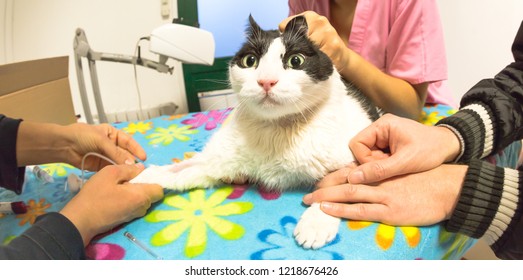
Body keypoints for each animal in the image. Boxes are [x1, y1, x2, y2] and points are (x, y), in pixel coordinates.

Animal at [130, 15, 376, 249]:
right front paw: (138, 180)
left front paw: (315, 224)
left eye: (295, 60)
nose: (266, 81)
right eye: (250, 61)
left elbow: (339, 187)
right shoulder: (217, 160)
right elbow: (179, 171)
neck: (276, 130)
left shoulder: (357, 156)